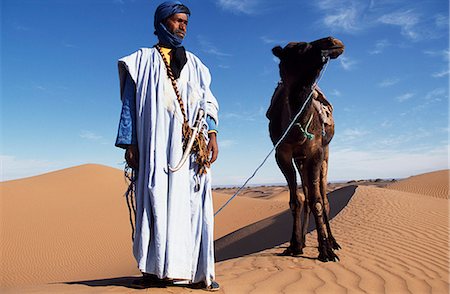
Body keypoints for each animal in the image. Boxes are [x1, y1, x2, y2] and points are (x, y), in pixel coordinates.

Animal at [268, 36, 344, 262]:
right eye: (302, 47)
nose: (333, 42)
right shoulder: (282, 154)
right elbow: (296, 200)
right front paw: (294, 245)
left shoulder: (316, 152)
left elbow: (317, 200)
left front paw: (325, 251)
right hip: (300, 160)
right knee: (307, 196)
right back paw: (302, 240)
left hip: (325, 155)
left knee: (323, 197)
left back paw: (333, 242)